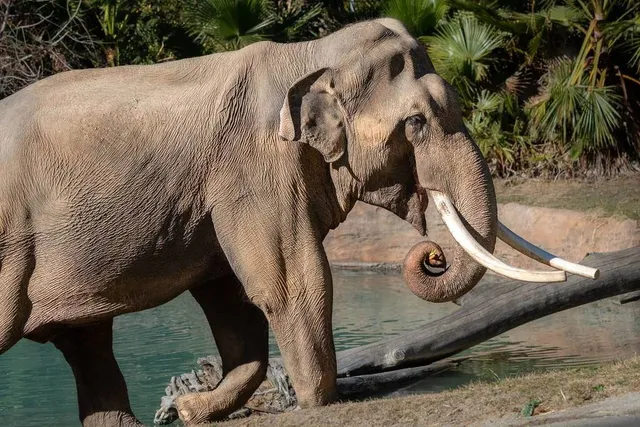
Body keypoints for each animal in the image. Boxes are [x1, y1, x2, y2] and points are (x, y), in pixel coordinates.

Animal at [0, 17, 587, 427]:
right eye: (417, 123)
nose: (433, 254)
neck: (310, 55)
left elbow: (233, 297)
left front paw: (194, 409)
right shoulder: (255, 168)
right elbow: (289, 280)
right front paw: (322, 402)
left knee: (89, 346)